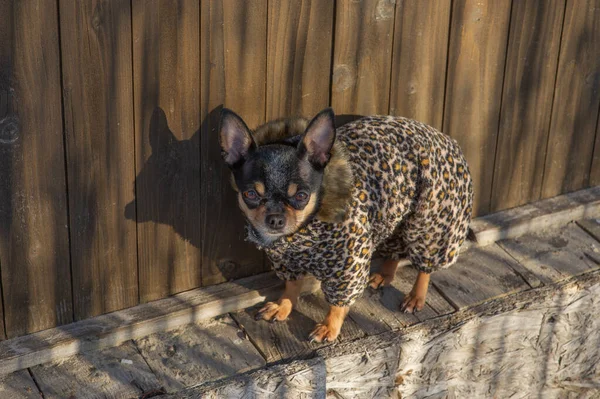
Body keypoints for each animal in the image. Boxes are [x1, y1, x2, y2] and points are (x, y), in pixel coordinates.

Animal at [218, 108, 472, 342]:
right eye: (250, 194)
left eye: (301, 196)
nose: (275, 218)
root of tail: (445, 137)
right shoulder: (286, 262)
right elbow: (292, 285)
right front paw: (283, 305)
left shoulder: (348, 267)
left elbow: (338, 303)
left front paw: (329, 326)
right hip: (394, 213)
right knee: (394, 248)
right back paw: (385, 275)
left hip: (429, 222)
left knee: (426, 264)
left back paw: (416, 296)